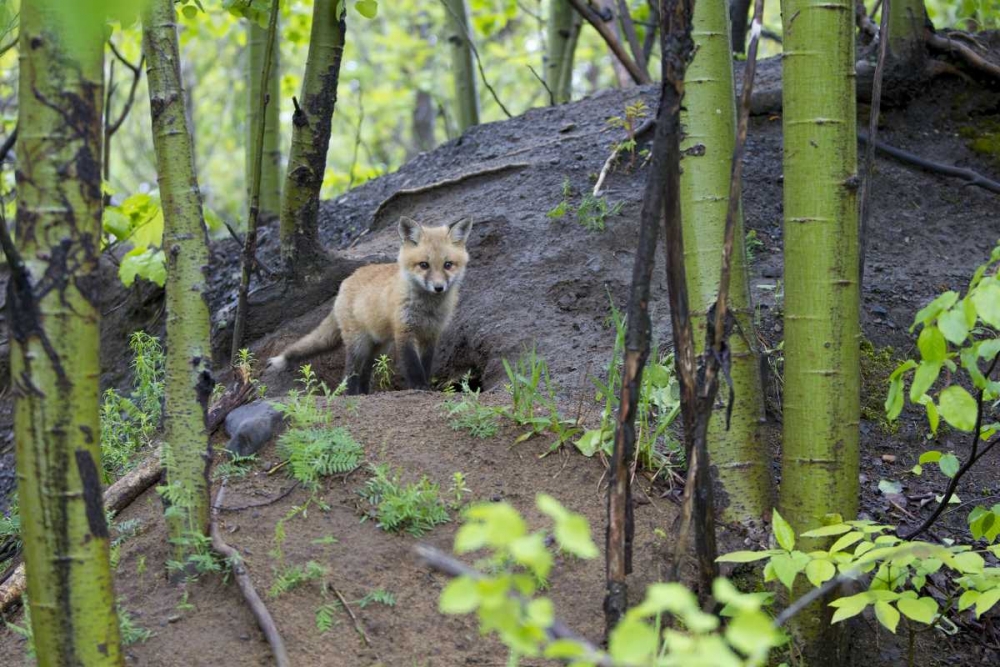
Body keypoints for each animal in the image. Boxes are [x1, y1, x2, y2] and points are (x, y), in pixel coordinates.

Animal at [266, 217, 473, 395]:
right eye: (424, 265)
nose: (439, 288)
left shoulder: (431, 334)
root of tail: (346, 281)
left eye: (448, 265)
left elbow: (426, 365)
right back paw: (351, 395)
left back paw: (365, 393)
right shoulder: (404, 331)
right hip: (358, 344)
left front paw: (425, 385)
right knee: (350, 373)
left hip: (378, 346)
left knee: (365, 371)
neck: (427, 309)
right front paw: (419, 387)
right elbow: (413, 365)